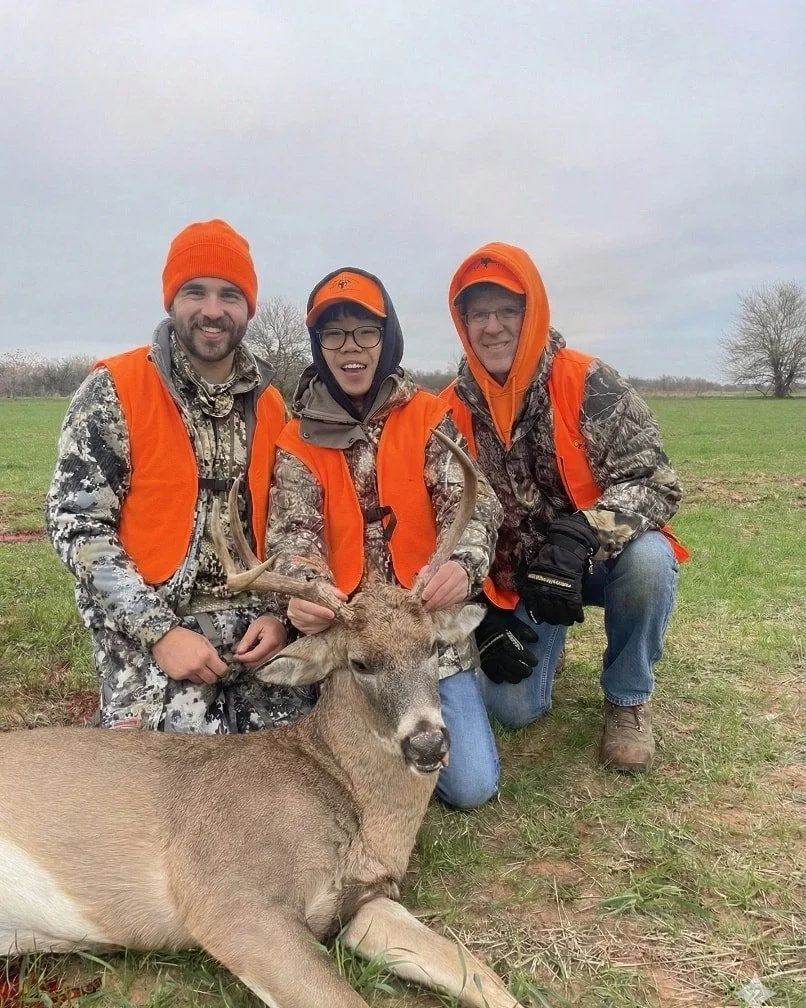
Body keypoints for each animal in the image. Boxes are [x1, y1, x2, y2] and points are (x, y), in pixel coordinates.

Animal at [0, 430, 525, 1008]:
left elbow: (484, 976)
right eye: (360, 662)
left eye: (433, 647)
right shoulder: (229, 896)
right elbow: (344, 998)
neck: (347, 801)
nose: (428, 744)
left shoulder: (361, 905)